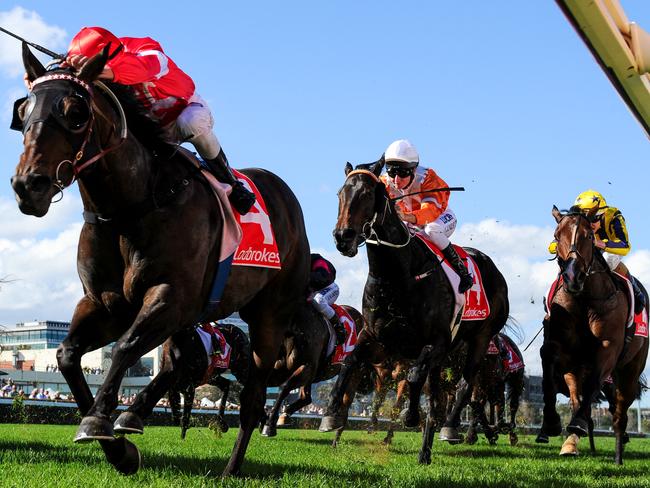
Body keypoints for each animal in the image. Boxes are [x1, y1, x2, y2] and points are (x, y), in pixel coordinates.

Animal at [11, 45, 310, 476]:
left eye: (75, 112)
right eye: (21, 112)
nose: (27, 185)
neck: (131, 205)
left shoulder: (170, 296)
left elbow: (125, 347)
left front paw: (99, 422)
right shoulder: (105, 303)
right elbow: (68, 355)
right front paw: (118, 449)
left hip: (269, 316)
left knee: (252, 398)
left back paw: (230, 469)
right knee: (177, 365)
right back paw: (134, 415)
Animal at [322, 161, 508, 466]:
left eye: (368, 193)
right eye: (340, 193)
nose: (343, 237)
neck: (398, 274)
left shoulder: (436, 342)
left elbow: (413, 378)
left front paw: (410, 416)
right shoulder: (376, 338)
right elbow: (350, 362)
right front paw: (330, 414)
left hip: (480, 338)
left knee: (466, 383)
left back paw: (450, 428)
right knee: (436, 394)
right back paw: (425, 451)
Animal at [536, 206, 648, 466]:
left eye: (588, 236)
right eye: (557, 236)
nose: (572, 276)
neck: (585, 298)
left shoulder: (608, 347)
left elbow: (595, 384)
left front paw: (576, 424)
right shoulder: (559, 346)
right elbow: (548, 367)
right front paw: (551, 423)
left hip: (631, 369)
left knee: (619, 412)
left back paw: (618, 457)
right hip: (575, 369)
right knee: (579, 398)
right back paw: (570, 444)